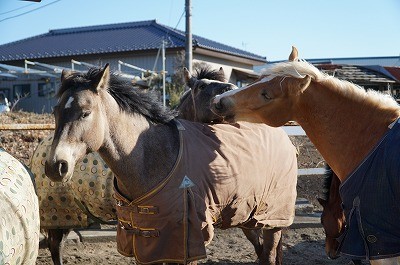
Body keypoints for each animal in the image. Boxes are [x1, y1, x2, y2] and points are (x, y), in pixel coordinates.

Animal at [45, 64, 298, 264]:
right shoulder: (148, 243)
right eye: (55, 111)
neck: (153, 157)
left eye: (85, 113)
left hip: (272, 220)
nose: (55, 165)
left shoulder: (189, 242)